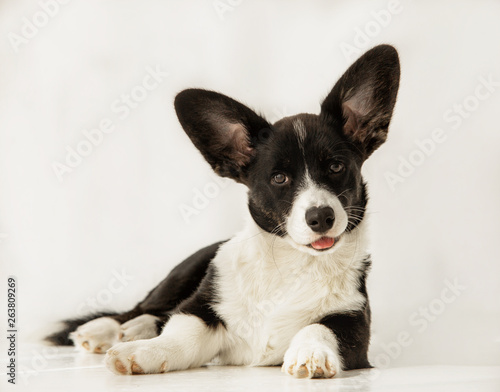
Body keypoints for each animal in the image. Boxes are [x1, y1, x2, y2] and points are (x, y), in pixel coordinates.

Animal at [46, 44, 398, 378]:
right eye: (279, 178)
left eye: (336, 167)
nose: (321, 217)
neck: (292, 264)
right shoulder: (200, 308)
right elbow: (180, 334)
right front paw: (142, 353)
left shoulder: (355, 324)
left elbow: (320, 327)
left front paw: (310, 354)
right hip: (182, 274)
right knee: (142, 309)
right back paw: (109, 329)